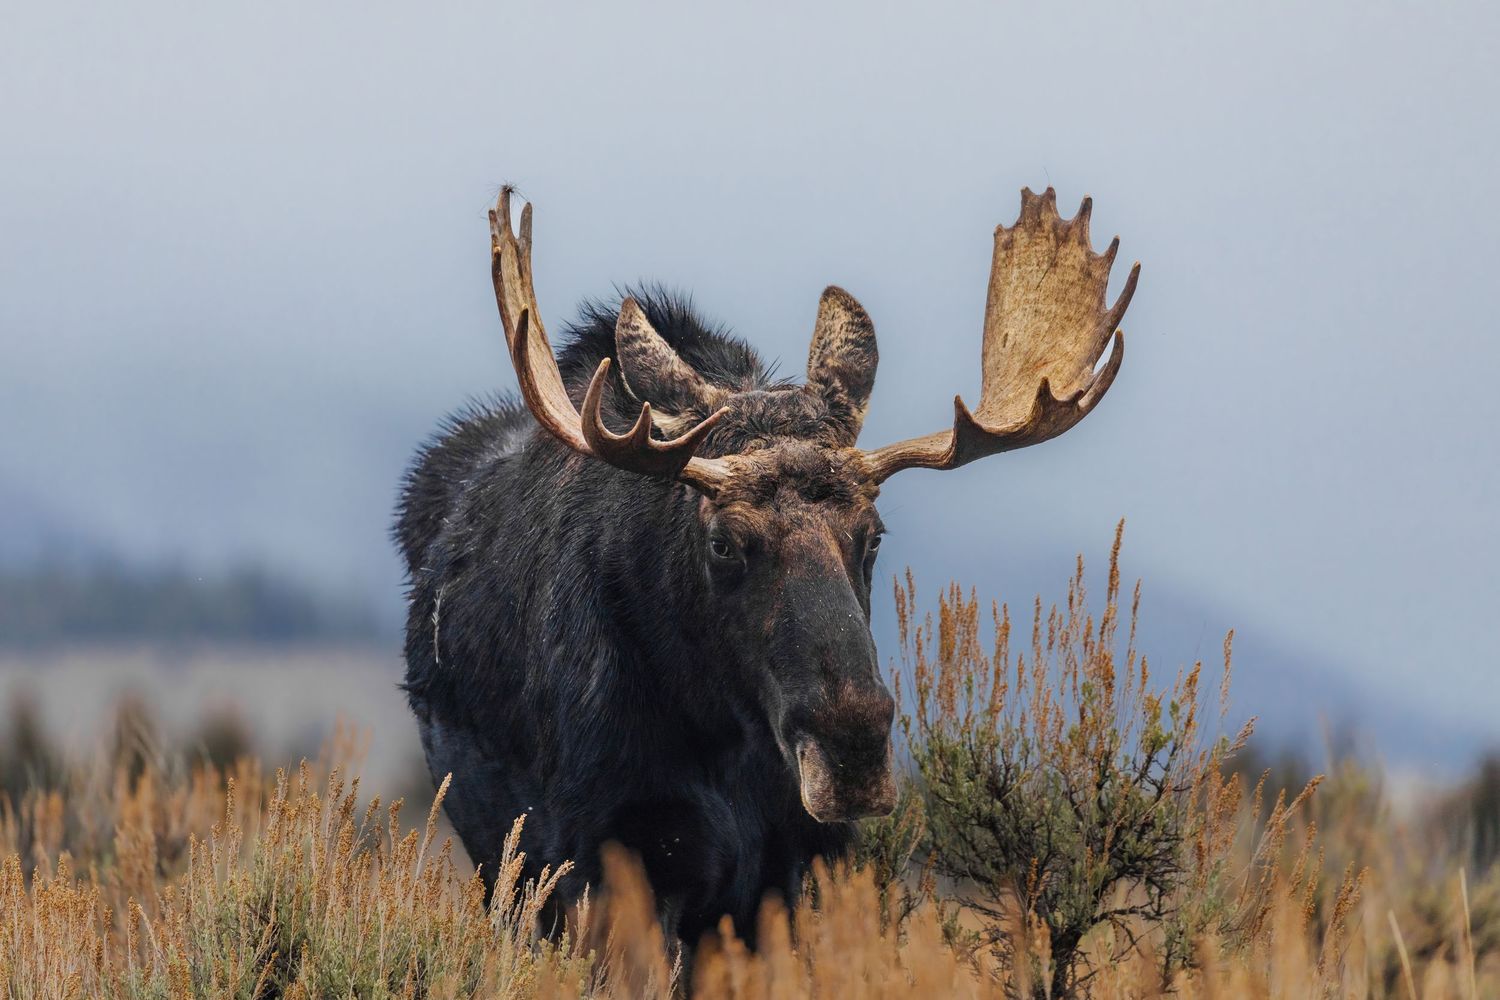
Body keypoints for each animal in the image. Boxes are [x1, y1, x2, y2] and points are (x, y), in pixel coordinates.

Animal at [395, 185, 1138, 946]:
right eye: (723, 542)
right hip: (506, 870)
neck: (722, 732)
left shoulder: (785, 870)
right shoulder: (611, 854)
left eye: (873, 535)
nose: (851, 749)